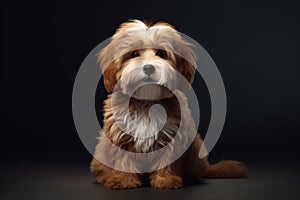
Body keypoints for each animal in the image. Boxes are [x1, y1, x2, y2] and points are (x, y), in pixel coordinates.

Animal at [89, 19, 246, 189]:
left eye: (161, 54)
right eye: (134, 54)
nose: (148, 67)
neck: (146, 102)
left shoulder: (171, 135)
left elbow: (167, 160)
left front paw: (165, 180)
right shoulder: (120, 136)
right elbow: (121, 159)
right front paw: (122, 180)